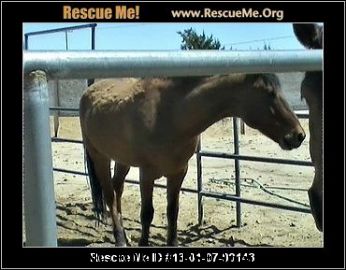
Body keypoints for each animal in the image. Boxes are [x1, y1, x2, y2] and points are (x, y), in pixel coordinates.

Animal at [79, 73, 306, 246]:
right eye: (269, 94)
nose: (299, 135)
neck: (171, 114)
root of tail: (88, 92)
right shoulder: (147, 174)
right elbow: (147, 214)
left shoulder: (178, 172)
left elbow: (172, 212)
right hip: (99, 157)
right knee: (109, 195)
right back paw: (120, 239)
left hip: (122, 160)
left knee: (117, 188)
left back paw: (124, 234)